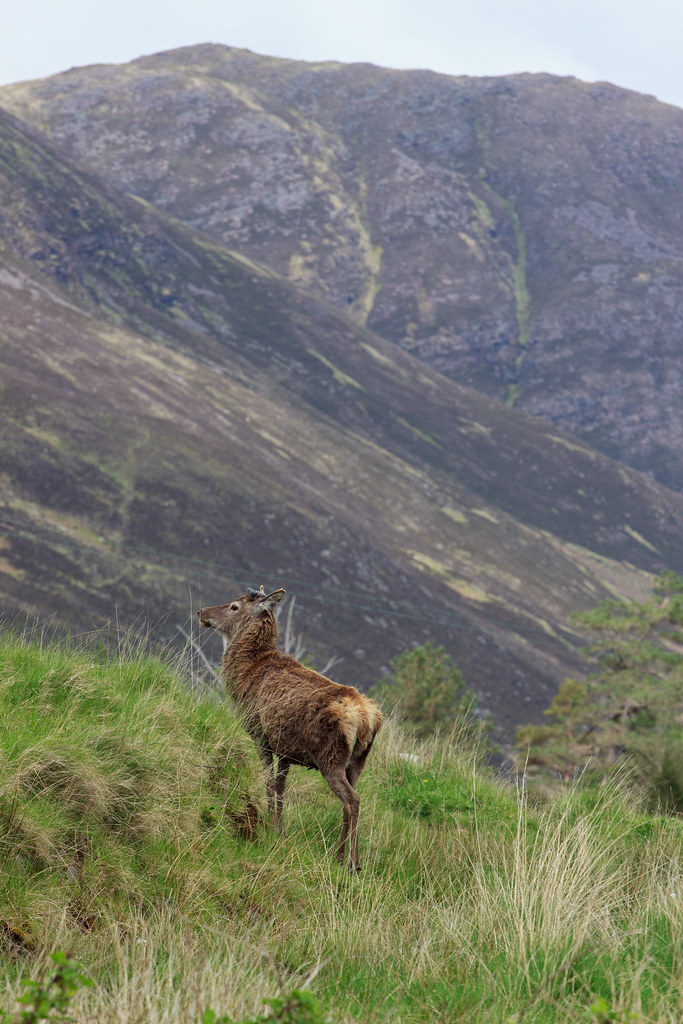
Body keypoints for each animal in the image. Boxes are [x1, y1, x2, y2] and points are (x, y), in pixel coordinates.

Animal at [198, 586, 383, 872]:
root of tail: (368, 719)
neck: (243, 675)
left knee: (353, 800)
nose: (201, 612)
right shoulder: (286, 749)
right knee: (349, 801)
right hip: (357, 762)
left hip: (331, 757)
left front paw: (269, 825)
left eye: (233, 607)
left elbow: (268, 784)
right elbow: (281, 787)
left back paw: (353, 862)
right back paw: (340, 856)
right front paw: (280, 829)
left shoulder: (260, 734)